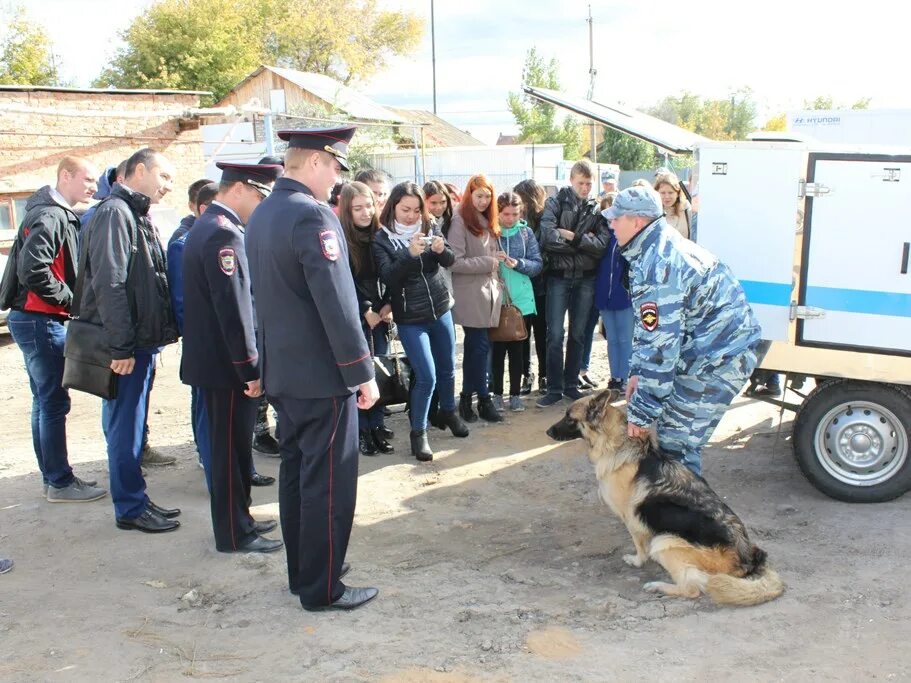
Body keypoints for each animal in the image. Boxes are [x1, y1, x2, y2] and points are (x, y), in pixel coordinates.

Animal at [548, 390, 784, 608]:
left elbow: (640, 546)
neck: (617, 443)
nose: (548, 431)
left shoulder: (632, 520)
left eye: (569, 418)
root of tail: (750, 559)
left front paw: (636, 561)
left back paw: (659, 586)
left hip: (663, 541)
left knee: (691, 589)